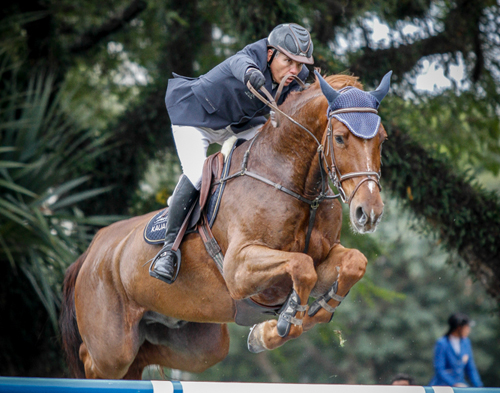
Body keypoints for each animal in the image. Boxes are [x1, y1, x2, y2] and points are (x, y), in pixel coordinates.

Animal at [59, 69, 390, 378]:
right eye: (340, 138)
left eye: (382, 138)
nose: (369, 212)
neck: (298, 185)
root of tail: (91, 252)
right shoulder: (239, 269)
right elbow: (301, 266)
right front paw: (281, 323)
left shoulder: (326, 255)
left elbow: (353, 263)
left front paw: (281, 325)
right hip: (112, 347)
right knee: (93, 359)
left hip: (197, 344)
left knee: (143, 358)